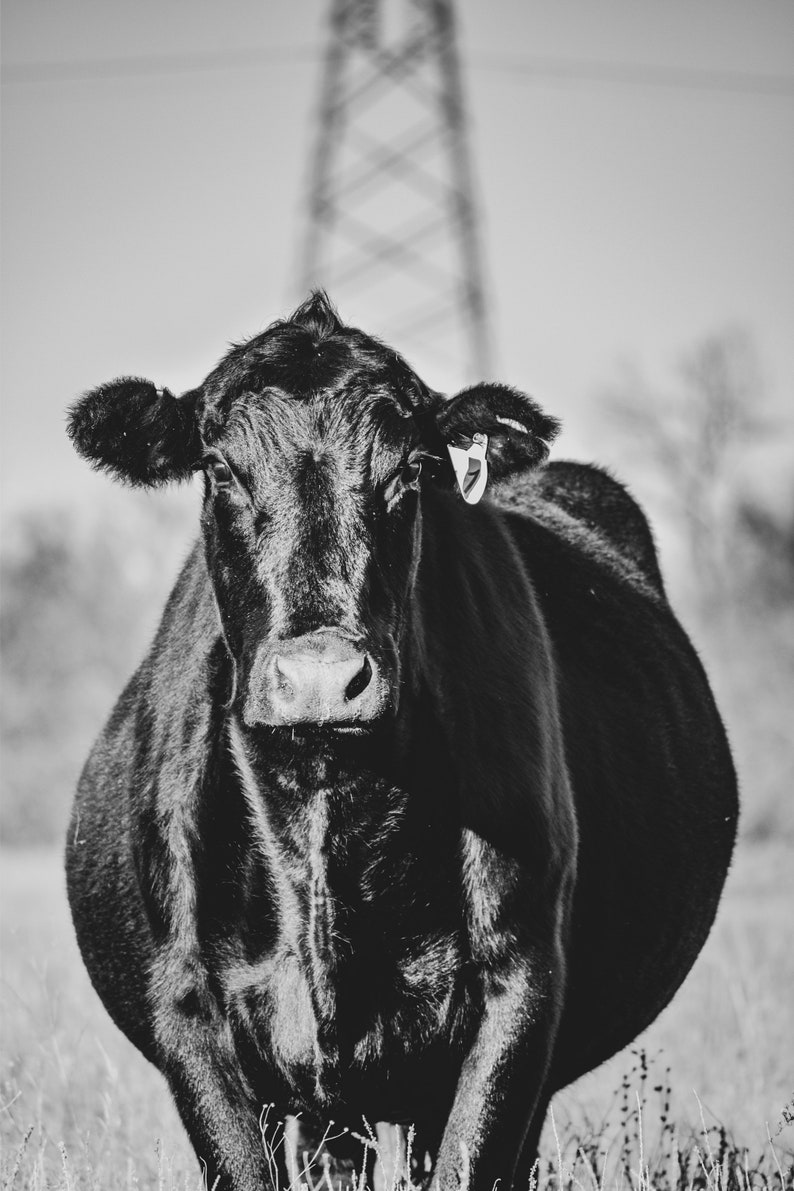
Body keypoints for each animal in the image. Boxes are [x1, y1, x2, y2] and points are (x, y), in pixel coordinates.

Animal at [65, 292, 738, 1191]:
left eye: (411, 470)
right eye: (219, 468)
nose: (321, 674)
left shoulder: (518, 982)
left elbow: (468, 1158)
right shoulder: (187, 1006)